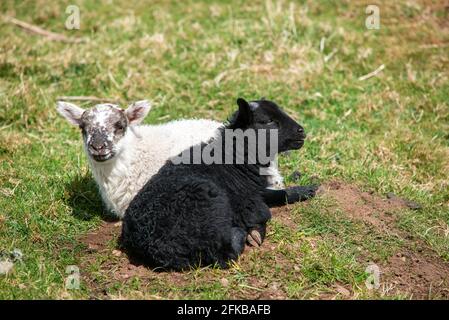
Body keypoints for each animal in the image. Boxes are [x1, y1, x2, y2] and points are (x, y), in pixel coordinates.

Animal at [121, 98, 308, 270]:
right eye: (268, 121)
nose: (302, 131)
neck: (234, 158)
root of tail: (156, 249)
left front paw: (306, 190)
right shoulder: (248, 203)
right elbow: (265, 211)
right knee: (223, 254)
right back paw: (240, 233)